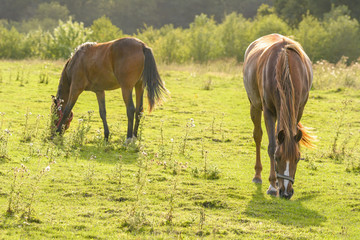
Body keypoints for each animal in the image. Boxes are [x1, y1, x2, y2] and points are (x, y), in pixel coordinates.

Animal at [243, 33, 314, 199]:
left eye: (298, 158)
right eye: (277, 158)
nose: (286, 192)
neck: (285, 64)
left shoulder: (298, 110)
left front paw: (276, 183)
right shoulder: (268, 111)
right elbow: (271, 146)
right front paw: (272, 186)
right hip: (255, 106)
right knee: (258, 136)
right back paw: (258, 176)